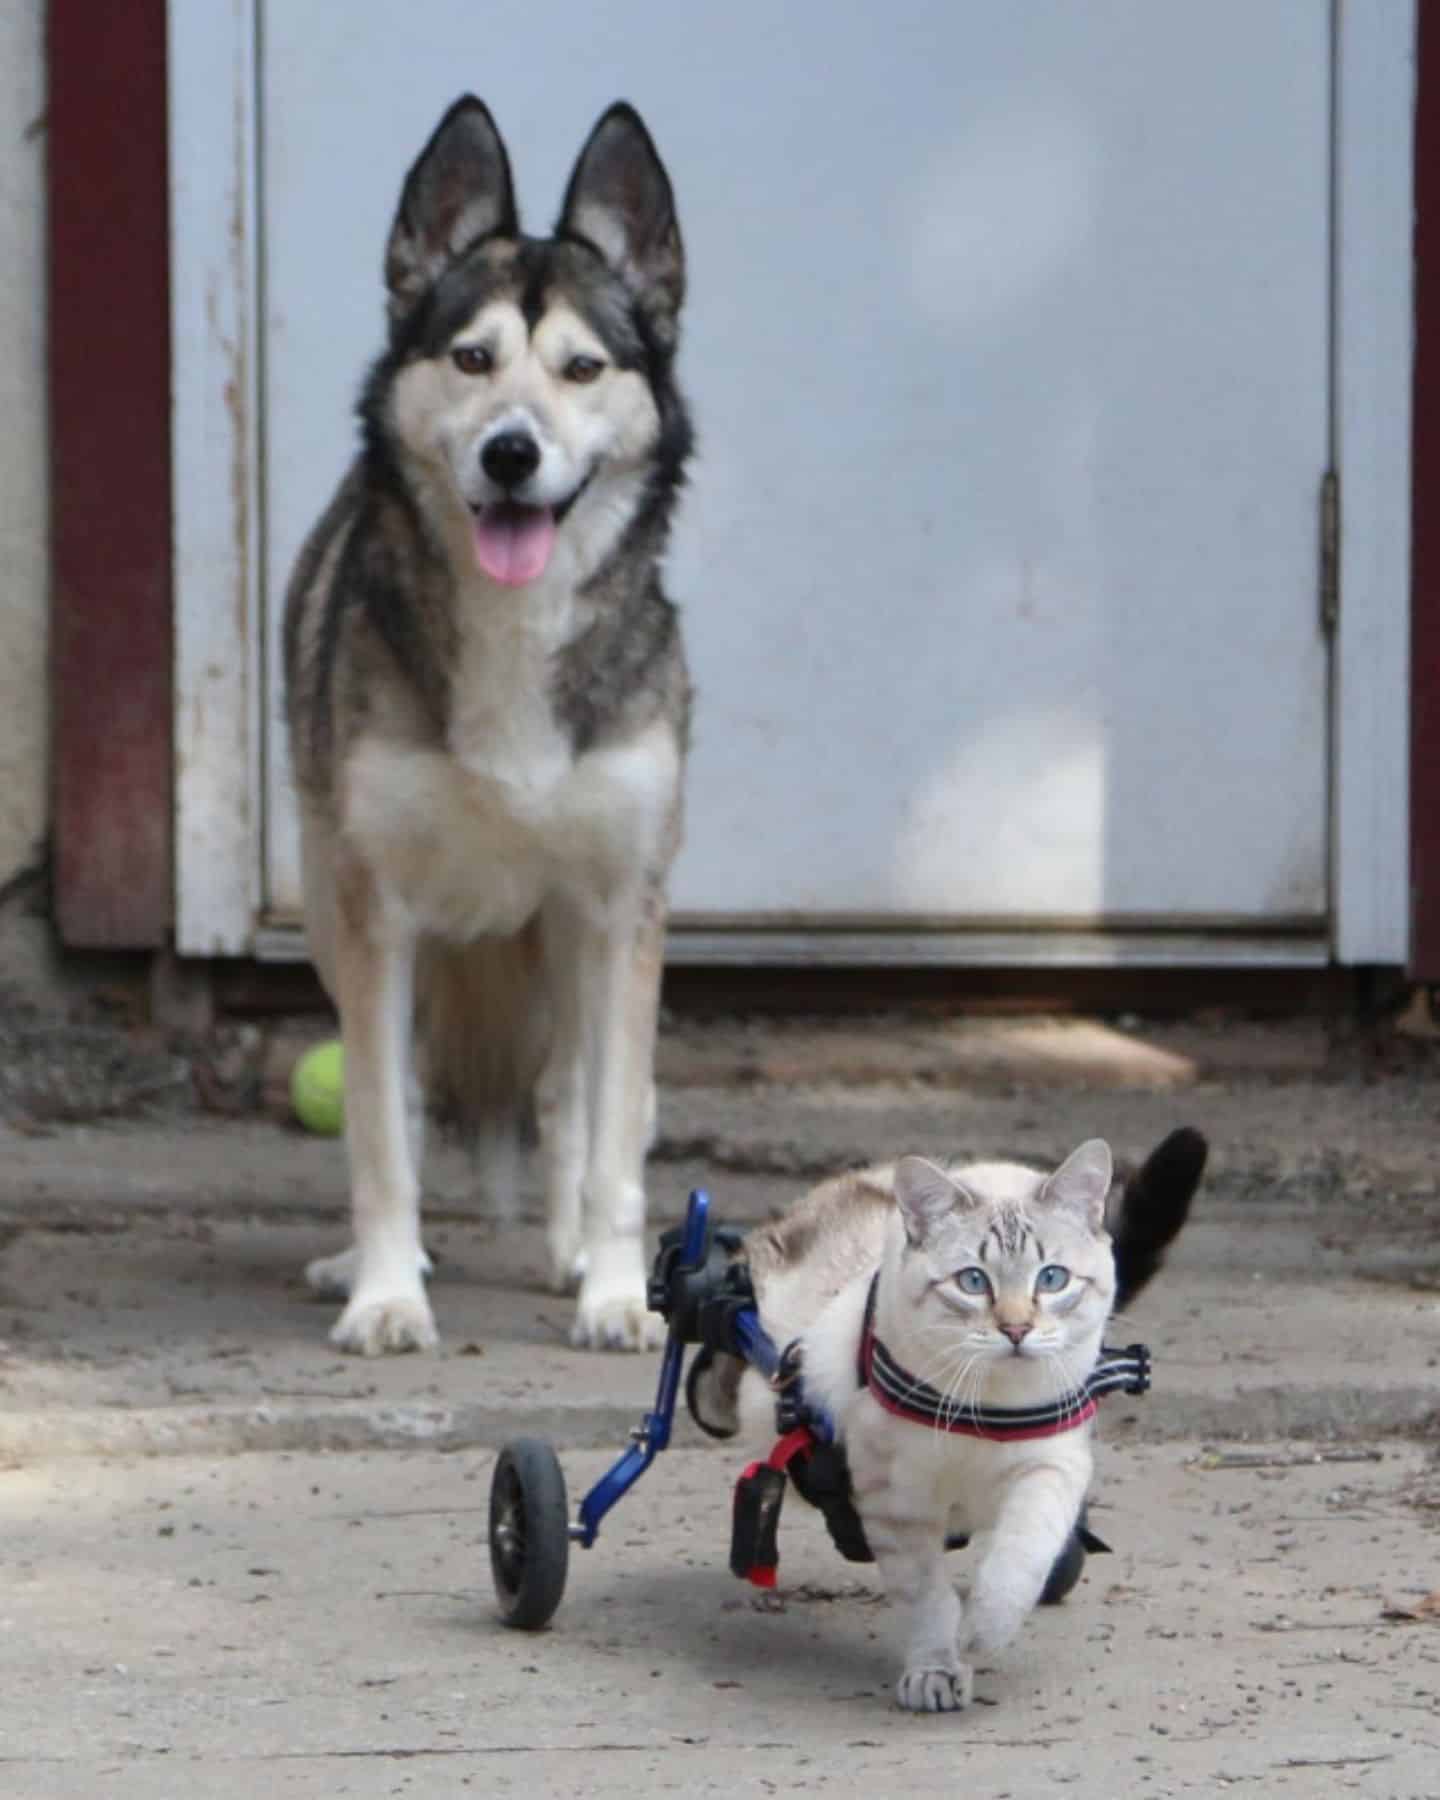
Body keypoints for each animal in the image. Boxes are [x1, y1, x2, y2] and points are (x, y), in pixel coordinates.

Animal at [286, 94, 691, 1353]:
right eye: (472, 358)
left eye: (582, 368)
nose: (513, 451)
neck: (517, 619)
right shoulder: (376, 914)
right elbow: (381, 1130)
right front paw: (384, 1293)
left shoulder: (620, 913)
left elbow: (610, 1143)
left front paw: (613, 1292)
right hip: (328, 910)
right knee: (413, 1096)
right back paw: (364, 1261)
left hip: (561, 939)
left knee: (568, 1094)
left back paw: (570, 1255)